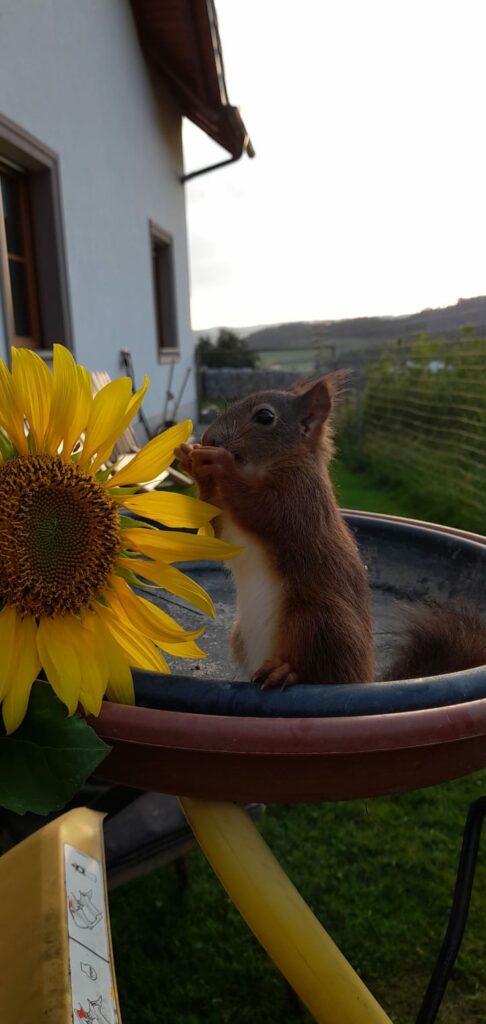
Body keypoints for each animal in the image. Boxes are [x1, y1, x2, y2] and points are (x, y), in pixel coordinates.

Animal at [175, 375, 486, 687]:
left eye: (265, 417)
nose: (208, 439)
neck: (258, 469)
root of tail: (364, 678)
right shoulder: (231, 529)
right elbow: (215, 530)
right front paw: (193, 463)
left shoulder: (300, 497)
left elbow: (266, 512)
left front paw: (219, 463)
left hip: (319, 621)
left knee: (323, 671)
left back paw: (287, 671)